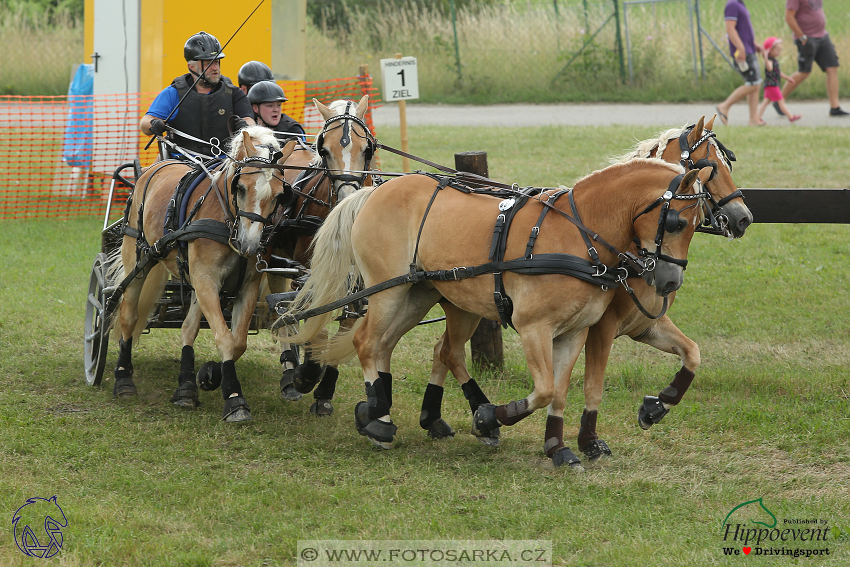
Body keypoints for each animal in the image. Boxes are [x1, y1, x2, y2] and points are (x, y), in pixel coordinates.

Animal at [106, 126, 294, 424]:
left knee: (188, 327)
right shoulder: (206, 281)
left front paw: (210, 376)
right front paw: (234, 399)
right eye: (241, 187)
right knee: (128, 317)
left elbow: (237, 342)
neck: (226, 220)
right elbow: (224, 338)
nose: (249, 245)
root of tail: (152, 169)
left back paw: (186, 387)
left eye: (278, 195)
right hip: (138, 261)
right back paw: (124, 378)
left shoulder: (245, 287)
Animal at [264, 95, 372, 414]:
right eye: (324, 150)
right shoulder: (306, 274)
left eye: (367, 149)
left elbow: (343, 331)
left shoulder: (357, 283)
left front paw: (325, 390)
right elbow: (316, 325)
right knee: (281, 307)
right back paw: (290, 370)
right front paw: (306, 375)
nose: (348, 198)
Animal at [286, 156, 716, 462]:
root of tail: (375, 191)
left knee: (396, 347)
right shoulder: (535, 328)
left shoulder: (576, 332)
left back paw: (386, 413)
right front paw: (488, 417)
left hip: (419, 294)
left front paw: (558, 447)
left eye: (699, 222)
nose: (670, 283)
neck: (581, 238)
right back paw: (378, 418)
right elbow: (545, 390)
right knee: (365, 342)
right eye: (676, 222)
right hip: (389, 292)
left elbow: (561, 391)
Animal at [420, 114, 756, 462]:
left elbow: (692, 353)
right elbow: (593, 385)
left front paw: (655, 407)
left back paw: (435, 418)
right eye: (708, 168)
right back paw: (472, 417)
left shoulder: (645, 325)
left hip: (464, 306)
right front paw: (589, 440)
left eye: (727, 165)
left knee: (443, 350)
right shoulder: (601, 328)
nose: (743, 218)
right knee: (449, 351)